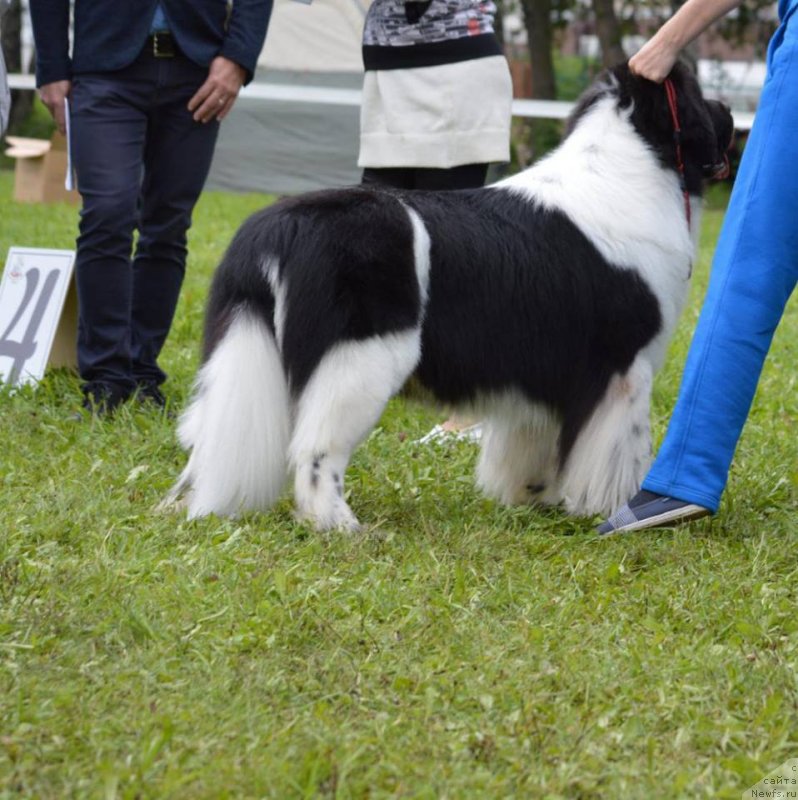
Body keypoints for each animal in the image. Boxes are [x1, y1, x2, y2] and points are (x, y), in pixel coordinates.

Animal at [166, 64, 736, 532]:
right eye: (697, 94)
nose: (730, 111)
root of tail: (278, 225)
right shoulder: (624, 368)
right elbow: (620, 446)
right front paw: (615, 507)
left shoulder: (539, 370)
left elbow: (533, 442)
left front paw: (531, 498)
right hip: (362, 360)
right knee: (314, 449)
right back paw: (341, 526)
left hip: (242, 352)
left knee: (212, 435)